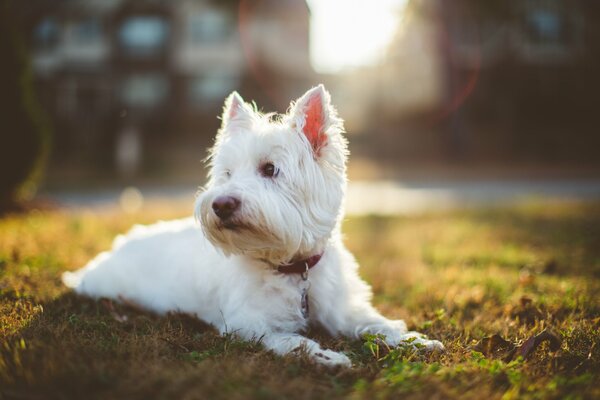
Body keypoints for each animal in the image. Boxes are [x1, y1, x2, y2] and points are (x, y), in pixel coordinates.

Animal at [63, 86, 442, 368]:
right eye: (227, 173)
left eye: (270, 169)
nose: (220, 204)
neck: (292, 268)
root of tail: (117, 246)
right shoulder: (248, 324)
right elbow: (293, 340)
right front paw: (328, 357)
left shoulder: (342, 308)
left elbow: (375, 323)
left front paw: (414, 340)